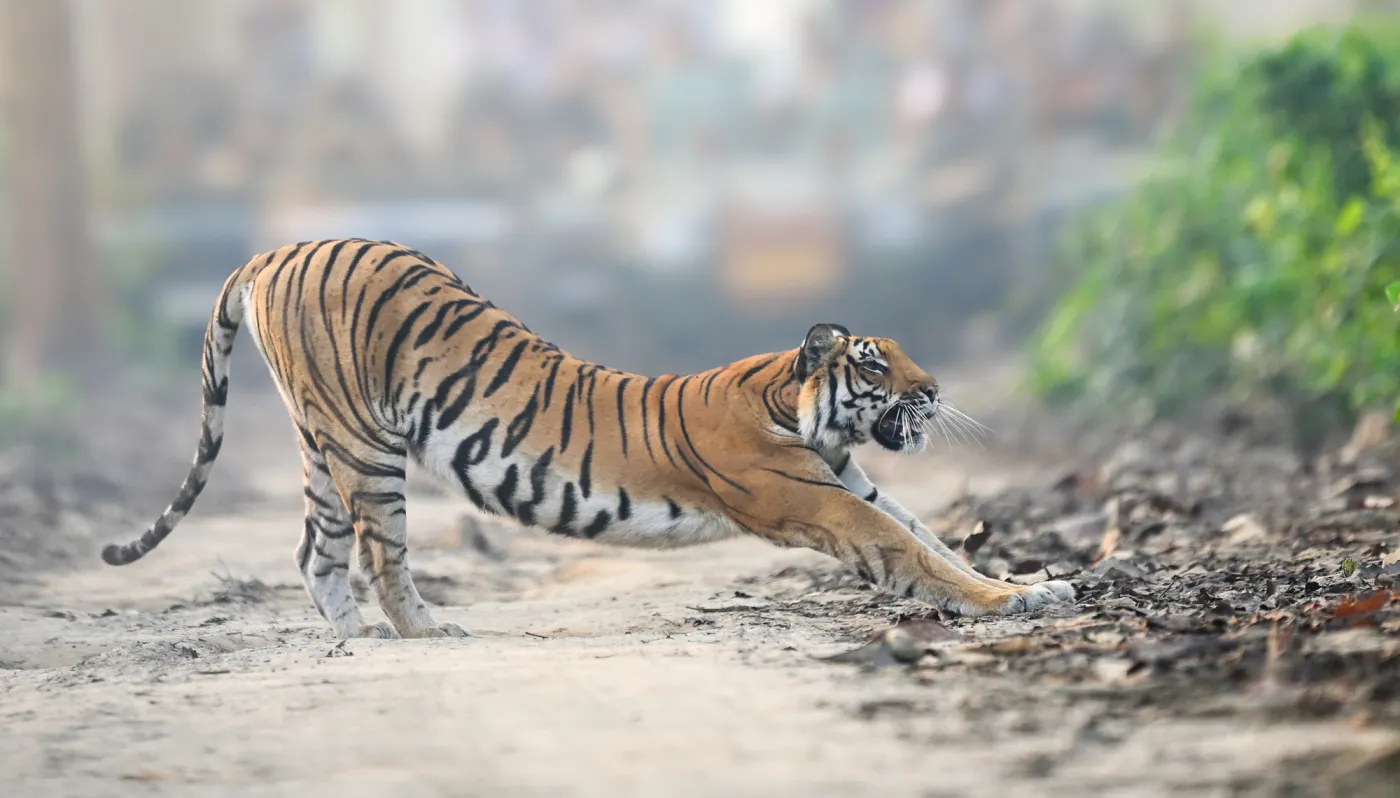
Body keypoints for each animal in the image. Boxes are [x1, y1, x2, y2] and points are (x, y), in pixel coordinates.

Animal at [101, 239, 1074, 639]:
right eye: (876, 365)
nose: (935, 391)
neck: (793, 404)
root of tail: (275, 251)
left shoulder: (858, 486)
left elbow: (935, 539)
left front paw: (1033, 586)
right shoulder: (822, 501)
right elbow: (915, 556)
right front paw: (1007, 603)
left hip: (320, 443)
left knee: (315, 549)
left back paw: (357, 640)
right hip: (363, 443)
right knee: (380, 550)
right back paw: (425, 632)